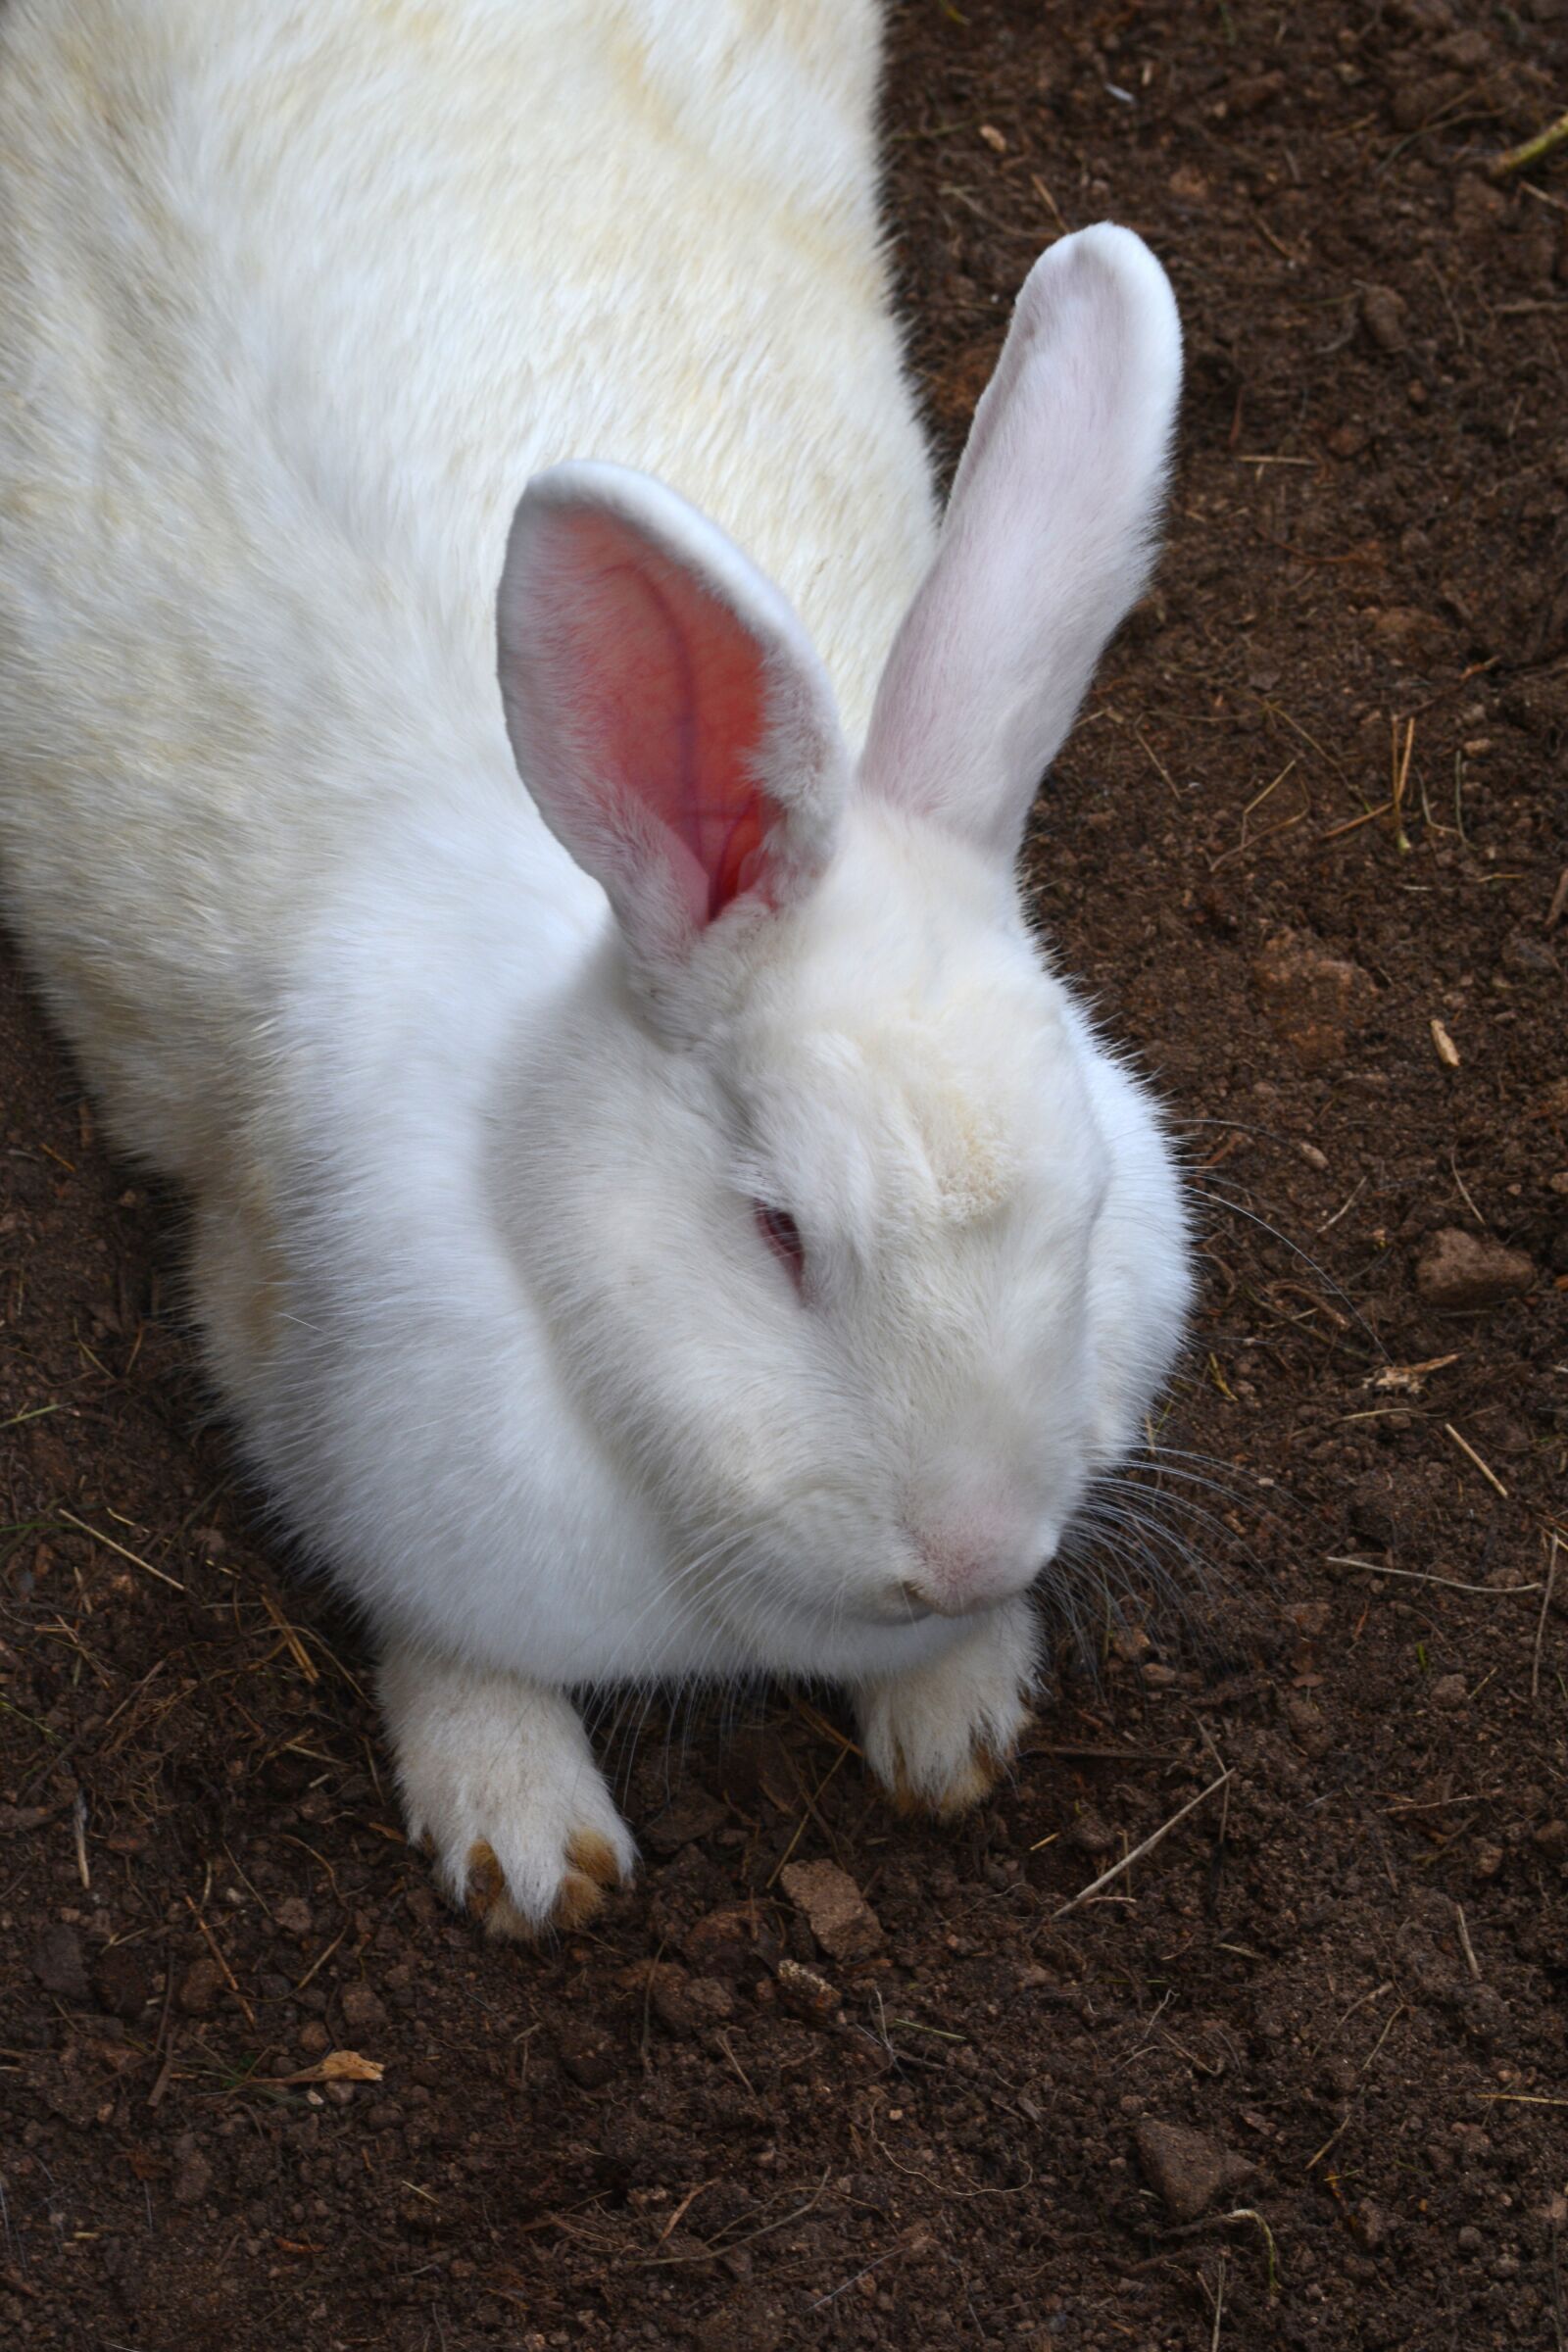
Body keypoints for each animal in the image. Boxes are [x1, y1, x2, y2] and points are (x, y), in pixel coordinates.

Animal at [0, 0, 1191, 1936]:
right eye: (777, 1234)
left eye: (1087, 1207)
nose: (966, 1549)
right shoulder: (324, 1407)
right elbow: (448, 1648)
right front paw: (526, 1844)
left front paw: (959, 1718)